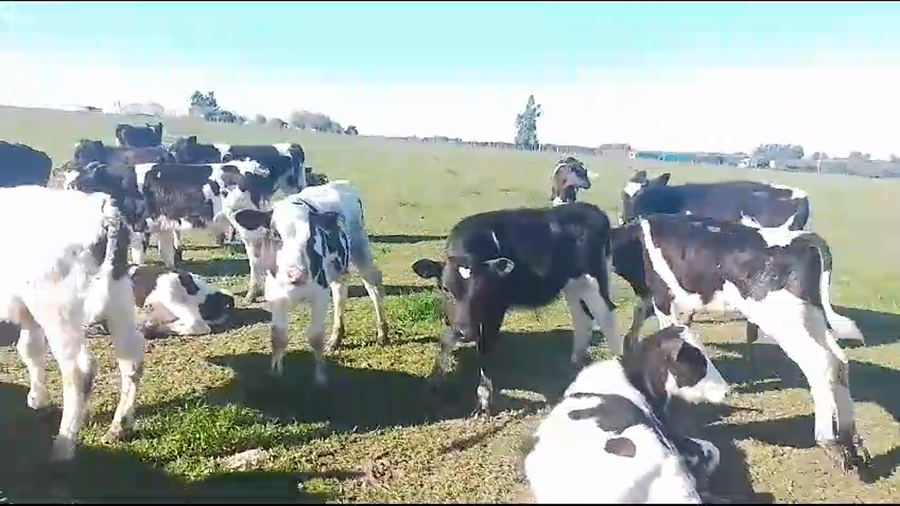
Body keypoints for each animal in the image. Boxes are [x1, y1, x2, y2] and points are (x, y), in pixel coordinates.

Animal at [0, 185, 144, 461]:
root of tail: (102, 208)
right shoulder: (26, 312)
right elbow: (30, 348)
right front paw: (38, 401)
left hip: (58, 311)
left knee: (79, 370)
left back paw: (63, 447)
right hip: (118, 299)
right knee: (131, 358)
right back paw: (117, 428)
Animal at [231, 180, 389, 384]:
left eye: (311, 235)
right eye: (275, 234)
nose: (297, 275)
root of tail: (341, 184)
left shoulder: (319, 295)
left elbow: (315, 337)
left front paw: (320, 378)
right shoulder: (275, 297)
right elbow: (278, 337)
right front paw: (276, 374)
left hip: (361, 248)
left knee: (373, 285)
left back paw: (382, 333)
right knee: (340, 293)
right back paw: (336, 338)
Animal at [411, 201, 626, 417]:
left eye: (485, 289)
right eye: (446, 288)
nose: (466, 333)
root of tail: (591, 209)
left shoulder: (496, 308)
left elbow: (485, 346)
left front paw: (484, 399)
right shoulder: (457, 318)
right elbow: (446, 338)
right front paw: (435, 379)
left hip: (594, 279)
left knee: (606, 316)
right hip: (573, 284)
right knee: (582, 317)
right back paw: (574, 361)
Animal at [609, 213, 870, 474]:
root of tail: (803, 239)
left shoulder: (664, 300)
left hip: (783, 320)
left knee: (820, 362)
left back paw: (831, 443)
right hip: (810, 315)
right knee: (839, 360)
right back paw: (852, 443)